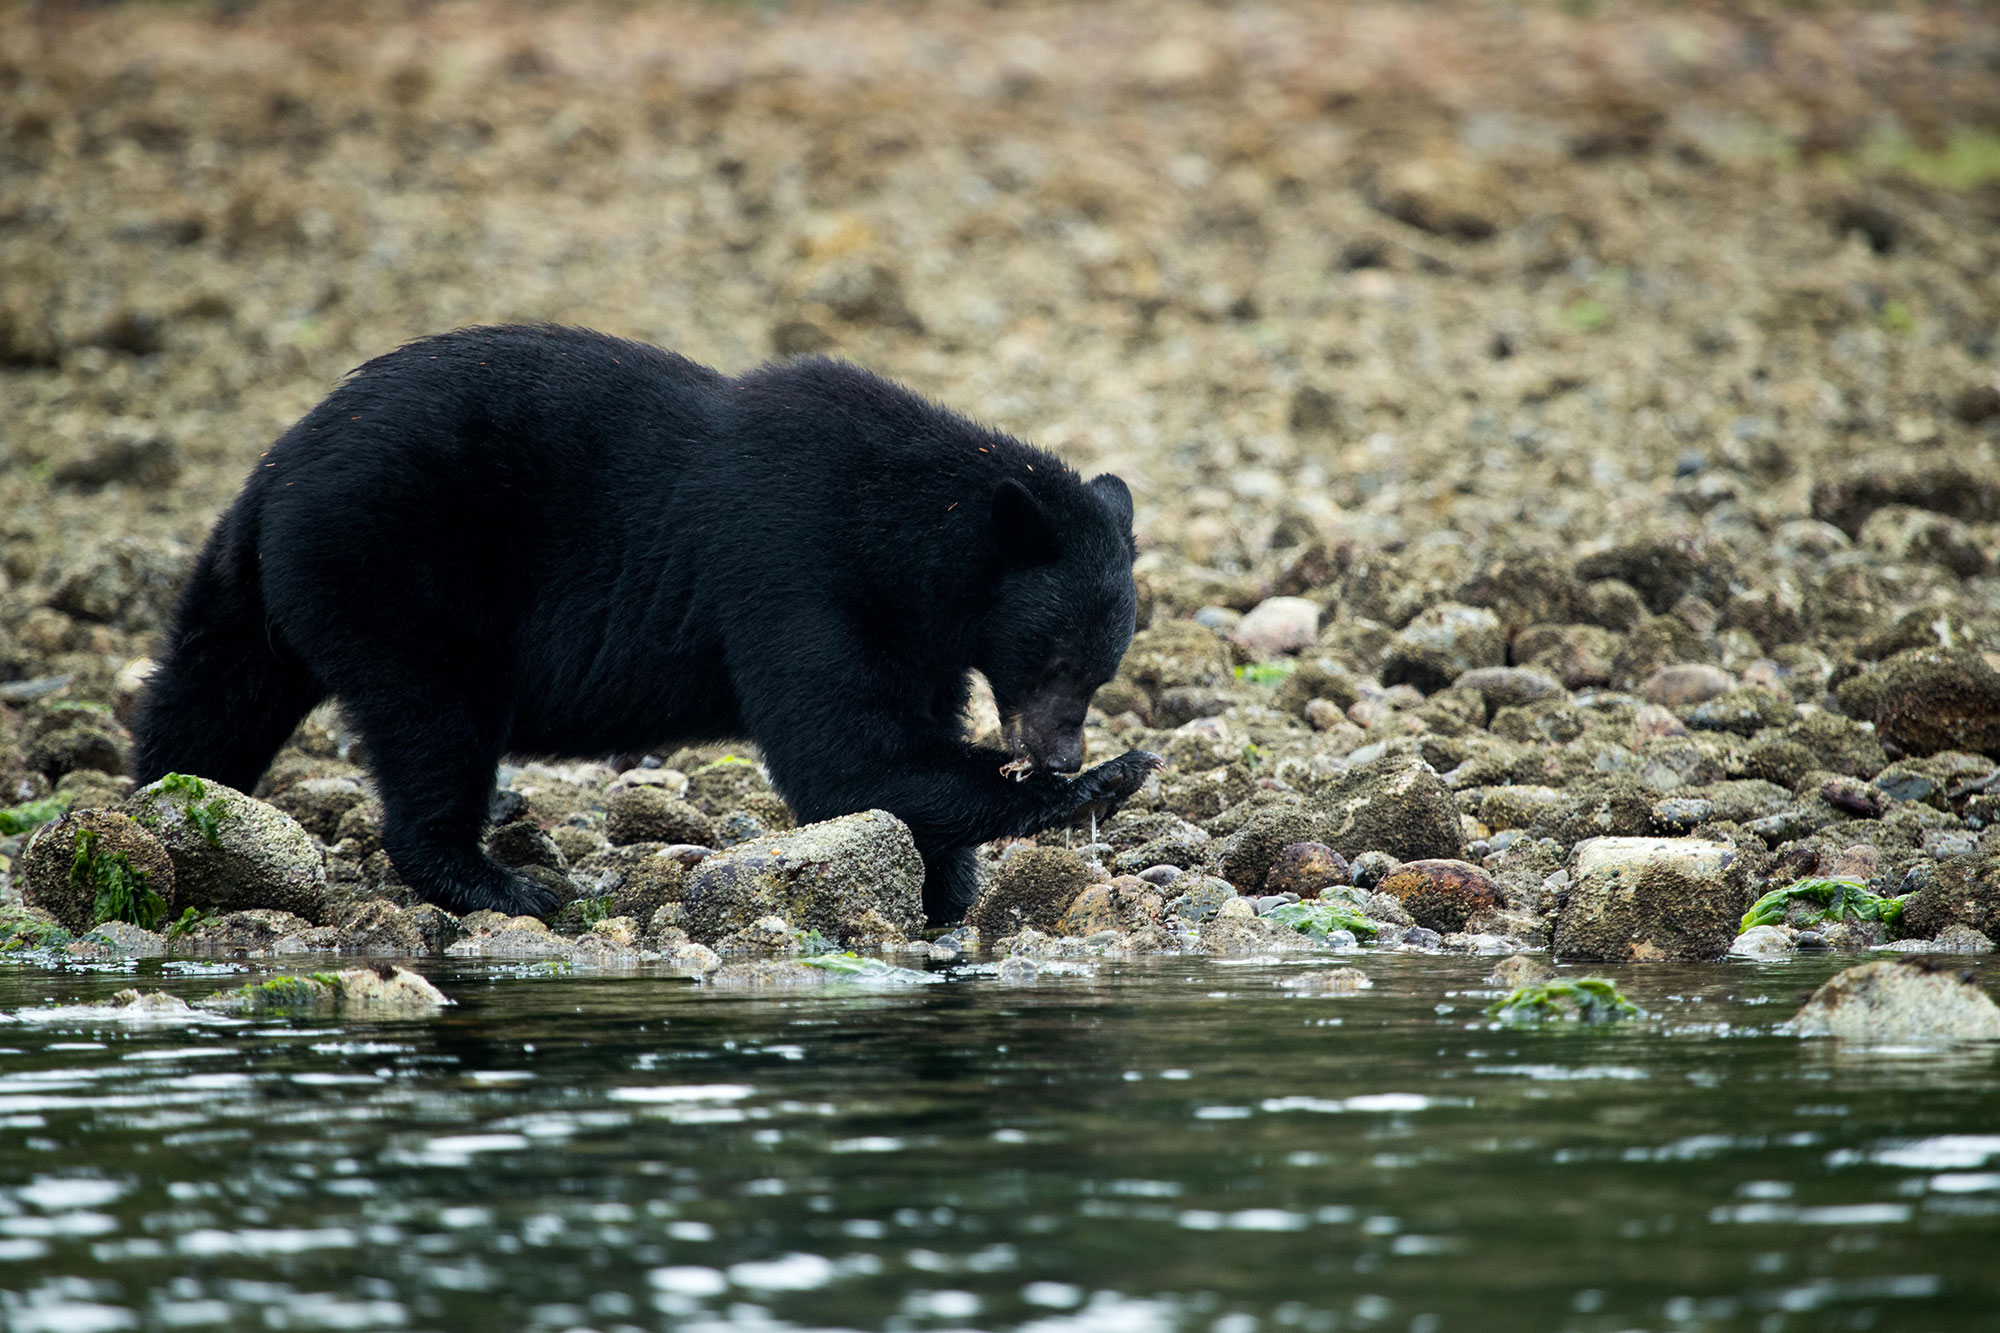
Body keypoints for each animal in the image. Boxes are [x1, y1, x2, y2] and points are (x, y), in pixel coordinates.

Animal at [132, 324, 1160, 923]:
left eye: (1100, 668)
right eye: (1056, 656)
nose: (1061, 751)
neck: (904, 529)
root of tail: (277, 470)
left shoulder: (918, 629)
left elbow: (894, 747)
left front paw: (949, 888)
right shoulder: (796, 564)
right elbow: (845, 754)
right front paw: (1106, 780)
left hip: (263, 586)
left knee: (212, 694)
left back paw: (170, 807)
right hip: (398, 568)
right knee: (433, 724)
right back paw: (503, 883)